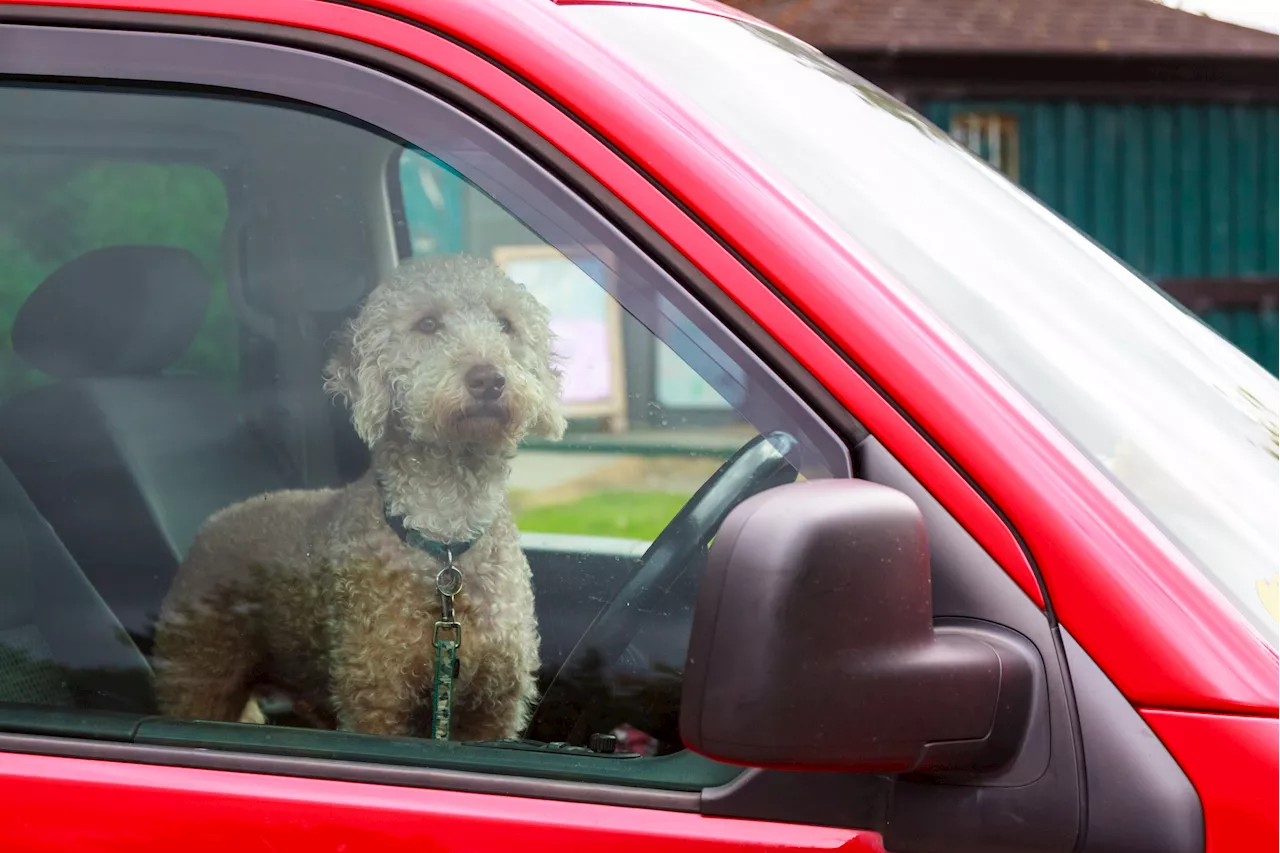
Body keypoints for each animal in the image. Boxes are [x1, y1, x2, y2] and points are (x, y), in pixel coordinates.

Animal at [152, 252, 568, 737]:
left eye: (505, 324)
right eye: (427, 324)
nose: (488, 379)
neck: (444, 538)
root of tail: (213, 521)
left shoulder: (494, 708)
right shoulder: (375, 698)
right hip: (198, 672)